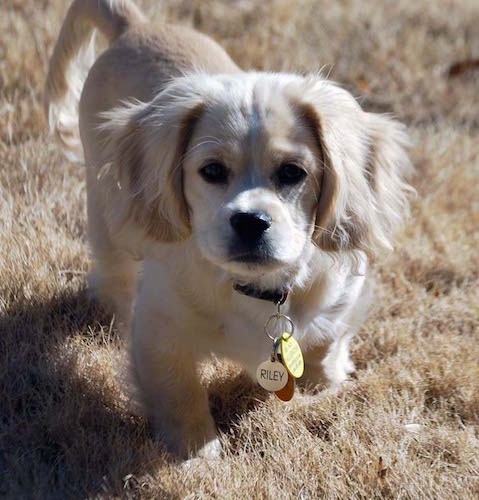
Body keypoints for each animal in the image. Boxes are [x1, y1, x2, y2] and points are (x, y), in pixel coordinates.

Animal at [44, 0, 412, 458]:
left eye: (292, 172)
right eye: (213, 171)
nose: (251, 221)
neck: (259, 291)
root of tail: (136, 26)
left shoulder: (345, 294)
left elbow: (326, 344)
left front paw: (322, 385)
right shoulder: (159, 331)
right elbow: (178, 393)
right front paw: (196, 453)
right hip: (106, 213)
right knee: (114, 276)